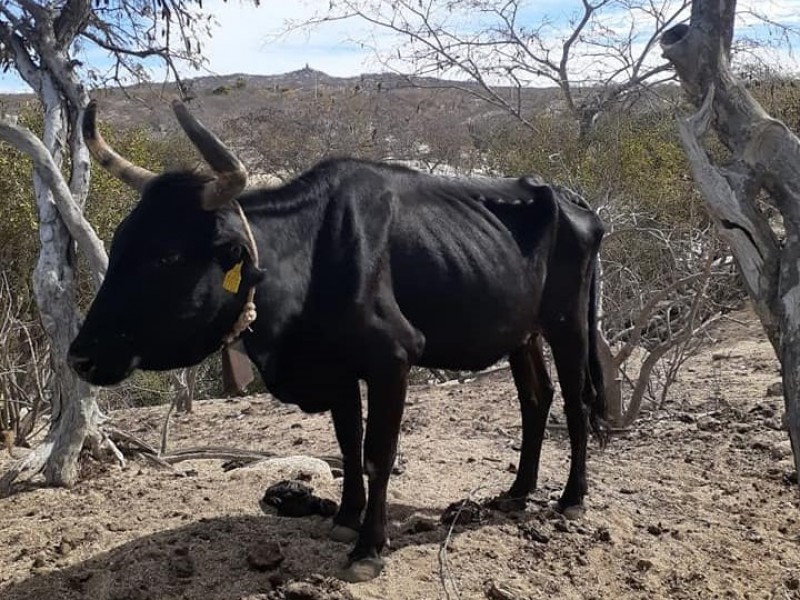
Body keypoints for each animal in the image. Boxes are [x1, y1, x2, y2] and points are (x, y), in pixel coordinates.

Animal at [70, 101, 608, 584]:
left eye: (166, 257)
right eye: (120, 244)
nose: (80, 357)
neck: (314, 253)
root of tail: (572, 199)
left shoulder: (392, 359)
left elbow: (377, 453)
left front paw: (369, 548)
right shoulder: (339, 369)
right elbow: (348, 444)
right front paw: (346, 518)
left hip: (568, 323)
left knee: (576, 403)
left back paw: (572, 499)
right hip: (522, 333)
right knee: (536, 399)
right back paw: (518, 491)